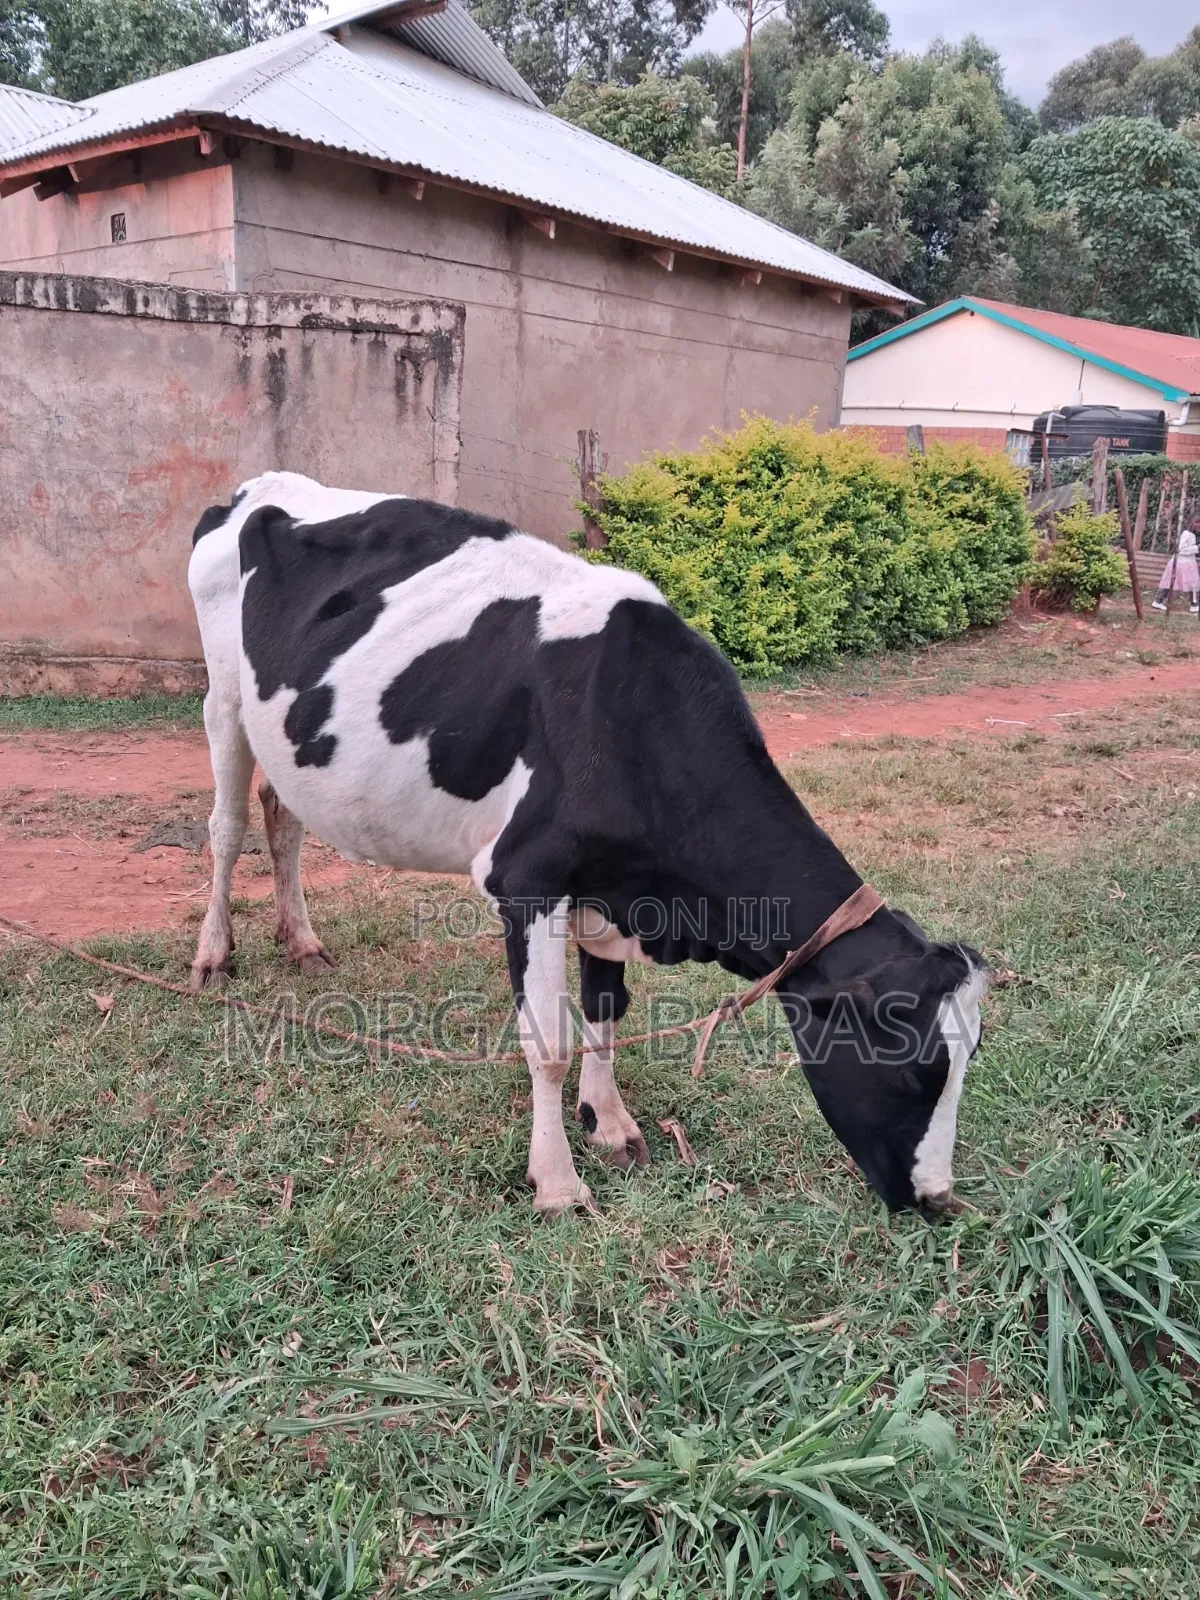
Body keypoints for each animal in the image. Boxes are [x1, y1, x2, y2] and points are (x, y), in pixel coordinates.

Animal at [188, 471, 989, 1217]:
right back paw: (213, 956)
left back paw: (302, 942)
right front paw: (558, 1183)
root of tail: (263, 486)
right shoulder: (525, 879)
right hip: (222, 698)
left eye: (969, 1059)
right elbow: (548, 1042)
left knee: (283, 817)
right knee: (226, 829)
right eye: (911, 1071)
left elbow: (606, 1009)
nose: (939, 1200)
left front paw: (609, 1123)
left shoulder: (611, 887)